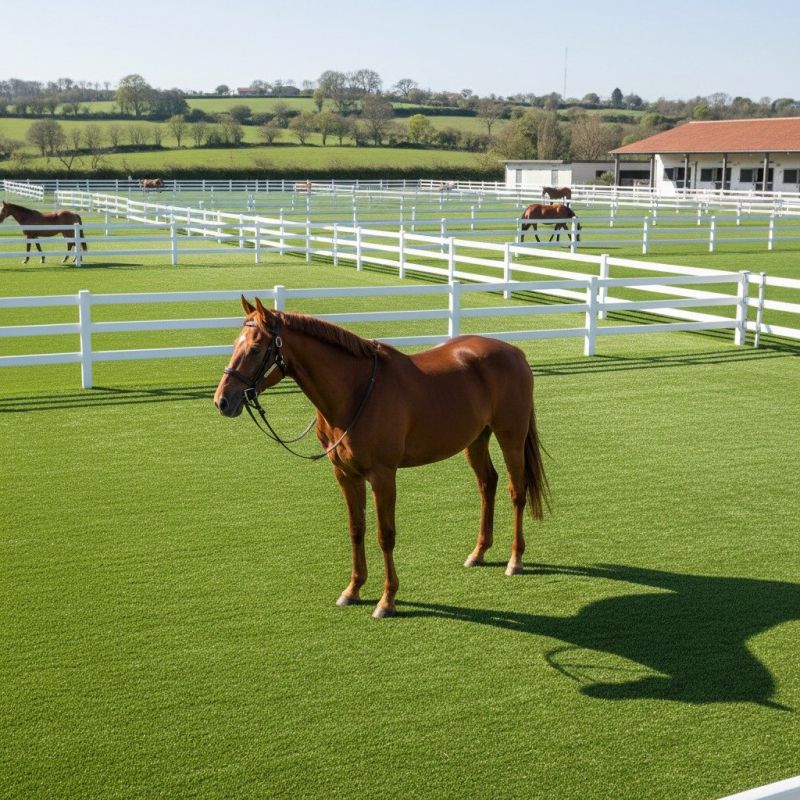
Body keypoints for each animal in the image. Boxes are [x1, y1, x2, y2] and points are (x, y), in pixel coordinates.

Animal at [214, 297, 549, 619]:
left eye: (256, 348)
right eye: (235, 344)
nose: (222, 401)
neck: (355, 391)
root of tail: (515, 352)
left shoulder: (383, 475)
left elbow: (385, 535)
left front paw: (387, 601)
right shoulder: (346, 474)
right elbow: (356, 529)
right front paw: (353, 590)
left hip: (511, 438)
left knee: (516, 491)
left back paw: (515, 559)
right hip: (476, 439)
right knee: (487, 484)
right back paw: (478, 553)